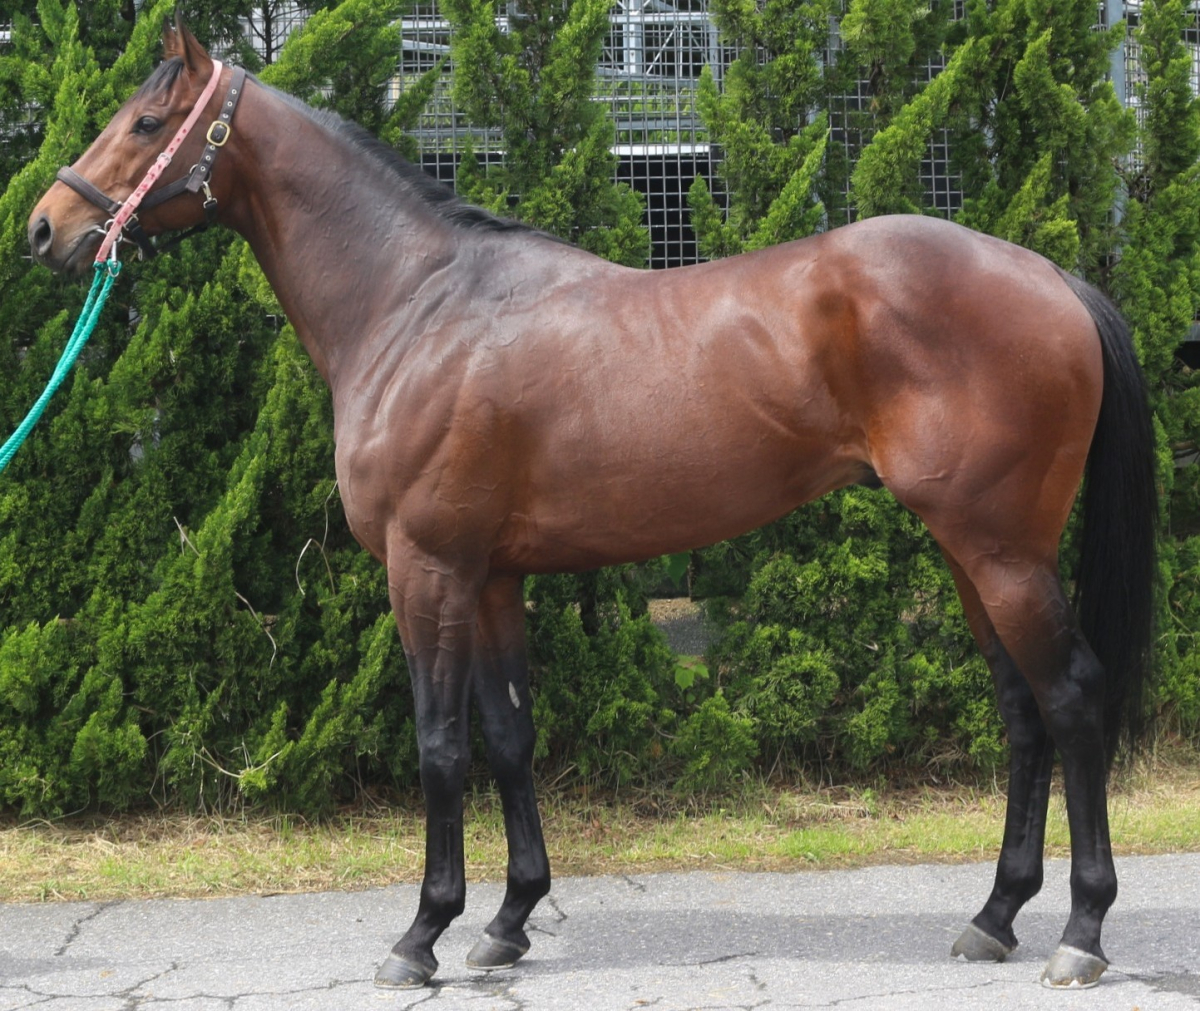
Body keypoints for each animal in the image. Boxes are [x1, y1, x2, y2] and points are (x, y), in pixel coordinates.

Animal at [27, 17, 1157, 992]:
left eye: (144, 121)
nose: (48, 225)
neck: (418, 304)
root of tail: (1050, 276)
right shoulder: (491, 577)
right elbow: (509, 736)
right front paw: (507, 922)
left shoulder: (427, 567)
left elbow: (440, 747)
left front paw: (422, 933)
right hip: (974, 553)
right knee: (1021, 712)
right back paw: (994, 916)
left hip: (1001, 551)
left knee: (1070, 700)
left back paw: (1081, 931)